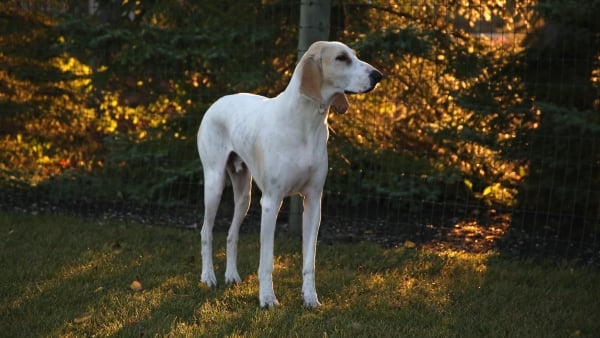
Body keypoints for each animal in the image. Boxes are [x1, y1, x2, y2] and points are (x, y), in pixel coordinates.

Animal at [199, 41, 382, 308]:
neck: (306, 124)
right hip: (214, 185)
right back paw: (208, 277)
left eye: (354, 56)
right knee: (206, 232)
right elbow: (266, 262)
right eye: (341, 58)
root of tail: (217, 102)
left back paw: (231, 276)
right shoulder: (271, 203)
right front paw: (267, 299)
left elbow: (309, 262)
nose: (378, 76)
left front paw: (310, 298)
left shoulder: (314, 202)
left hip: (244, 196)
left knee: (232, 235)